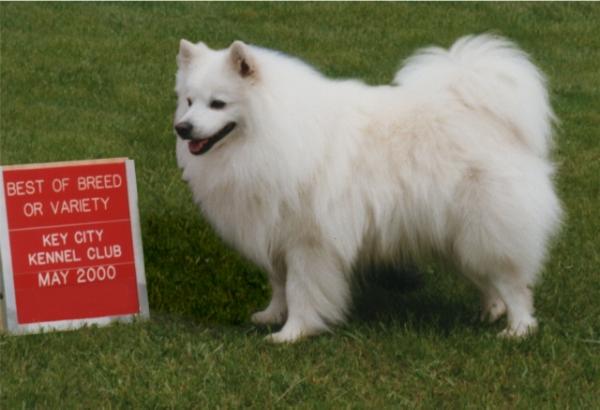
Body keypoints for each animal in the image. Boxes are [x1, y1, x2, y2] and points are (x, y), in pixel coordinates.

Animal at [173, 35, 564, 342]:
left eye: (218, 103)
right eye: (189, 101)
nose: (183, 128)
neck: (270, 133)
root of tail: (487, 116)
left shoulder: (309, 242)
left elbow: (300, 291)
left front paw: (292, 334)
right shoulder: (275, 234)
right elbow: (279, 286)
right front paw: (270, 316)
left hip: (485, 228)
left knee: (514, 284)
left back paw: (517, 329)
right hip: (460, 236)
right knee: (490, 280)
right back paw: (489, 312)